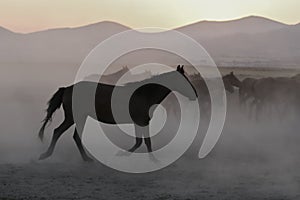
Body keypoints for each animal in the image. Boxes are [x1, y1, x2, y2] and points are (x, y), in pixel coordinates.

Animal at [38, 65, 197, 162]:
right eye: (185, 80)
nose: (195, 95)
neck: (145, 94)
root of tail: (67, 88)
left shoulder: (139, 122)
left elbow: (140, 141)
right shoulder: (142, 121)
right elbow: (145, 142)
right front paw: (153, 160)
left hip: (80, 117)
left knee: (75, 137)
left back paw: (85, 158)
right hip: (73, 117)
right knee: (58, 132)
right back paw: (46, 154)